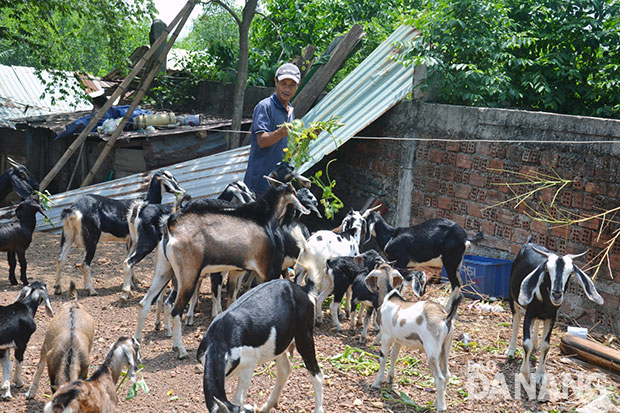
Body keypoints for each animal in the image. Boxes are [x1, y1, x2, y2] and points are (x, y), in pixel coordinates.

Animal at [55, 169, 184, 294]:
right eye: (170, 178)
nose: (181, 191)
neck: (146, 201)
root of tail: (74, 208)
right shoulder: (131, 239)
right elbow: (129, 258)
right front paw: (131, 284)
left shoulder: (130, 240)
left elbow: (128, 257)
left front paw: (134, 281)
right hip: (91, 239)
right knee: (85, 264)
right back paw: (91, 290)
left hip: (67, 235)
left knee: (61, 259)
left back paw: (57, 288)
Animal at [136, 180, 310, 358]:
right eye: (295, 193)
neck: (263, 219)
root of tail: (170, 227)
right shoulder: (267, 270)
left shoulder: (238, 272)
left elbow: (232, 299)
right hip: (188, 276)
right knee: (176, 311)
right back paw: (180, 349)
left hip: (164, 270)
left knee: (144, 304)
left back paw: (137, 348)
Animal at [197, 276, 324, 412]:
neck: (220, 338)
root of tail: (300, 289)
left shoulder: (248, 366)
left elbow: (237, 399)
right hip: (279, 345)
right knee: (285, 370)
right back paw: (266, 407)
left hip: (304, 336)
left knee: (316, 373)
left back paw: (318, 409)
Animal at [366, 264, 462, 408]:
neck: (390, 297)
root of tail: (446, 317)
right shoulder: (398, 340)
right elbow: (394, 356)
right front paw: (390, 379)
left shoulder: (386, 336)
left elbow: (383, 358)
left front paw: (376, 383)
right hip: (446, 347)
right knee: (447, 375)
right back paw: (437, 401)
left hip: (432, 350)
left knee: (440, 378)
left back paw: (441, 407)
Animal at [506, 238, 604, 386]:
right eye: (547, 271)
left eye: (570, 273)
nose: (557, 294)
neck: (546, 302)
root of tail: (529, 242)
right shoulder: (529, 314)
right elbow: (526, 344)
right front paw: (524, 374)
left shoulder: (551, 317)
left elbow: (546, 346)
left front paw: (541, 376)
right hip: (513, 299)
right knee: (516, 321)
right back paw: (511, 351)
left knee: (537, 324)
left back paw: (535, 343)